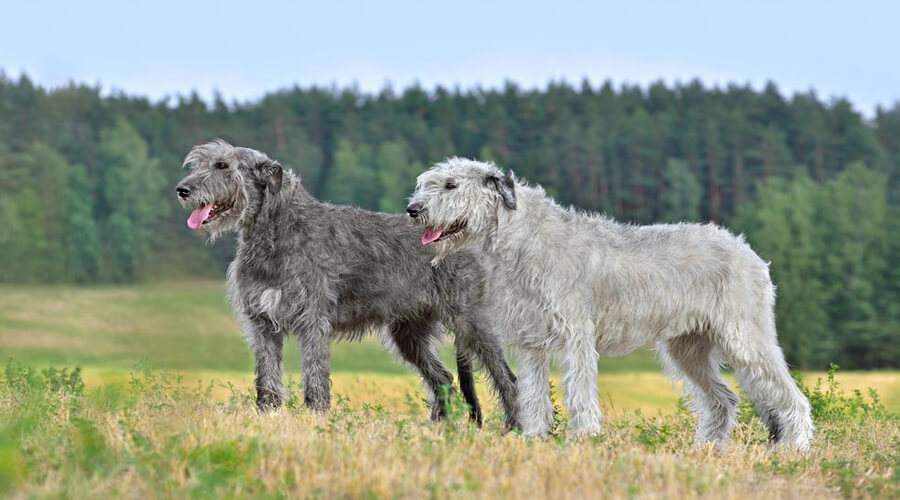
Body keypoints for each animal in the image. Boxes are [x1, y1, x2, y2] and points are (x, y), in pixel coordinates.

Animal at [174, 142, 520, 430]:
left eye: (223, 165)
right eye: (201, 163)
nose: (182, 189)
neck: (277, 229)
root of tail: (463, 234)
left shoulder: (312, 320)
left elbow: (315, 375)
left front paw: (315, 419)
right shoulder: (263, 322)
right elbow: (267, 376)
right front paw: (267, 416)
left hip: (471, 321)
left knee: (506, 377)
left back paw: (514, 428)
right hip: (409, 331)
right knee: (444, 378)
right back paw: (437, 428)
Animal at [408, 159, 816, 450]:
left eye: (451, 185)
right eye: (426, 184)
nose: (413, 209)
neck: (524, 239)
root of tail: (749, 252)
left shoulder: (575, 333)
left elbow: (579, 389)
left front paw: (584, 437)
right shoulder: (532, 340)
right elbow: (532, 392)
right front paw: (534, 437)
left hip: (747, 338)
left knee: (791, 396)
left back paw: (795, 448)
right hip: (688, 348)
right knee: (724, 400)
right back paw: (706, 449)